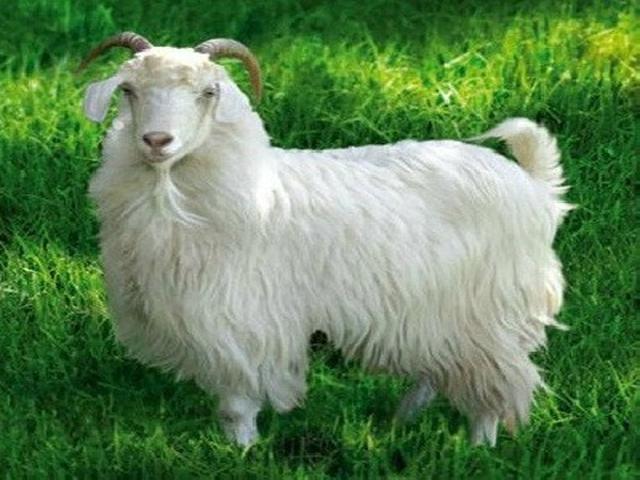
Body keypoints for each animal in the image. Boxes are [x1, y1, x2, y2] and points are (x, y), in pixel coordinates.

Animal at [81, 32, 571, 447]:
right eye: (129, 91)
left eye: (209, 93)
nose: (156, 140)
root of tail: (537, 187)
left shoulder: (242, 321)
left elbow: (237, 404)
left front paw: (243, 451)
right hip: (435, 309)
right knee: (439, 368)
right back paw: (402, 421)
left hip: (489, 313)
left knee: (497, 383)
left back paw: (477, 447)